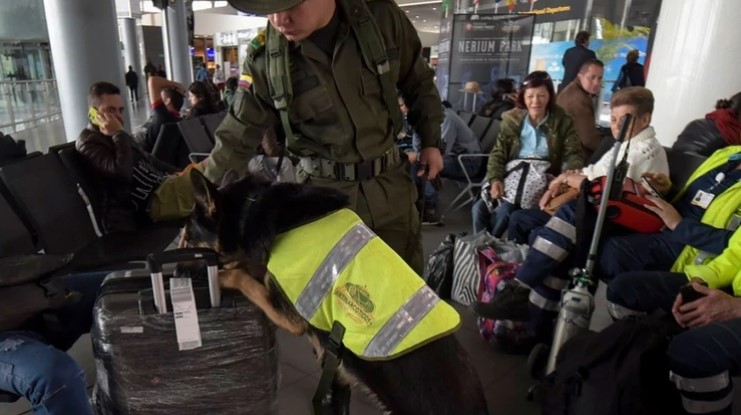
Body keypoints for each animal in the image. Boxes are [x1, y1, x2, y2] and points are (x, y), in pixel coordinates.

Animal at [182, 171, 488, 414]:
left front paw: (223, 276)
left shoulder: (289, 313)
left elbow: (240, 276)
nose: (173, 269)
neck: (251, 208)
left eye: (186, 238)